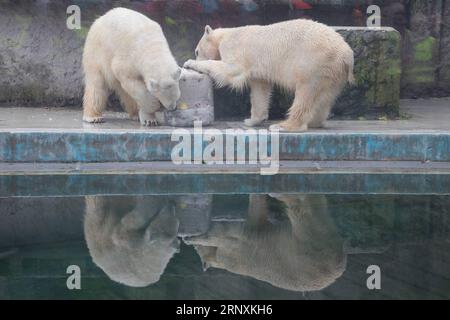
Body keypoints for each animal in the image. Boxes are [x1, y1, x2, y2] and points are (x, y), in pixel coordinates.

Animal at [184, 19, 356, 132]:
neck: (225, 35)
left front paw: (189, 63)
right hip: (333, 73)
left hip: (314, 63)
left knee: (305, 93)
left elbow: (232, 70)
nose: (195, 56)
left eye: (197, 51)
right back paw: (315, 121)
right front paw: (251, 120)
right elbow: (260, 90)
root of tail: (347, 53)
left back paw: (284, 125)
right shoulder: (258, 69)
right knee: (324, 97)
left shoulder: (234, 47)